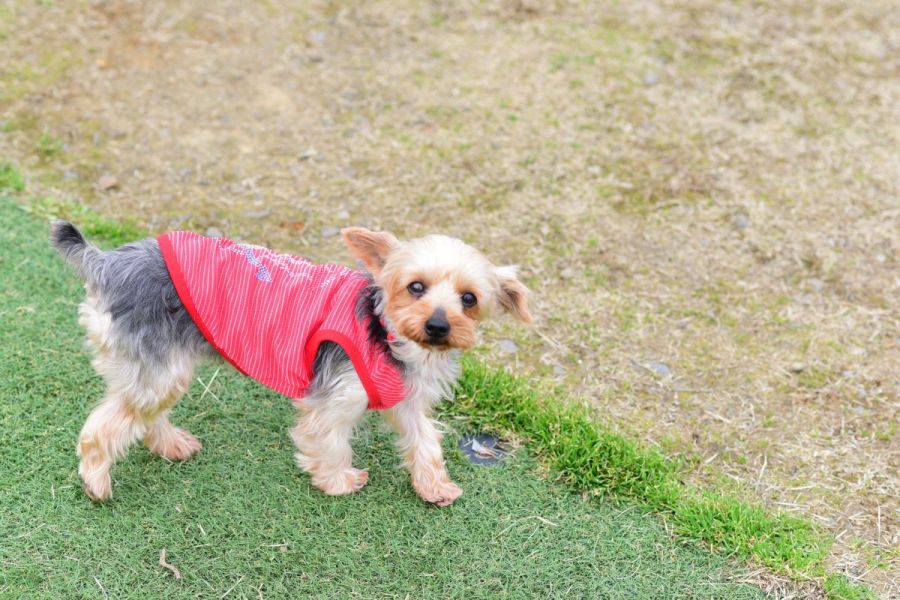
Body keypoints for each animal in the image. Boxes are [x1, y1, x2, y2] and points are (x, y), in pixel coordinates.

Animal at [49, 223, 532, 504]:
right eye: (416, 287)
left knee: (139, 411)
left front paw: (433, 486)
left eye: (469, 299)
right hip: (158, 367)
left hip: (161, 368)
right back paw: (96, 482)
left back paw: (170, 444)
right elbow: (329, 440)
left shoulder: (405, 400)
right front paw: (338, 481)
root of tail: (106, 264)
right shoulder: (336, 397)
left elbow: (425, 441)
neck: (386, 332)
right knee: (102, 427)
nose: (437, 325)